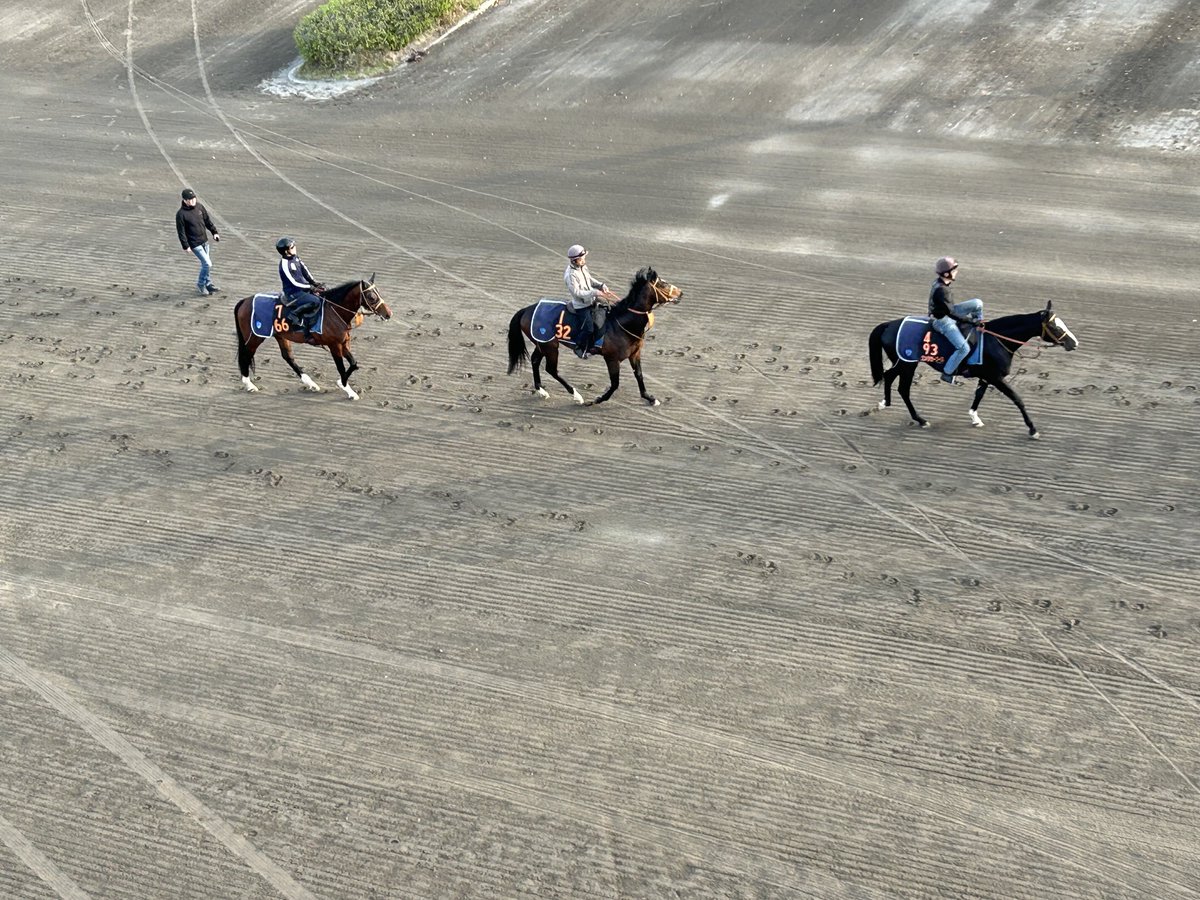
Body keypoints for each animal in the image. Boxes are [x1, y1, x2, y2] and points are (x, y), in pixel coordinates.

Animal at [229, 277, 388, 400]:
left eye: (379, 293)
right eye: (372, 297)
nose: (388, 314)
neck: (335, 311)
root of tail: (244, 301)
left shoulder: (343, 343)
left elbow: (354, 363)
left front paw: (346, 386)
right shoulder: (334, 345)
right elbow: (341, 367)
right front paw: (346, 388)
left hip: (280, 335)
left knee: (288, 357)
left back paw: (311, 383)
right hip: (255, 338)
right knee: (245, 356)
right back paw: (249, 385)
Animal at [504, 267, 681, 408]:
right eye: (662, 284)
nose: (680, 293)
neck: (621, 323)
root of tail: (527, 309)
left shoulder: (634, 354)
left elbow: (639, 376)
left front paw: (650, 398)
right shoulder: (611, 359)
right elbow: (615, 384)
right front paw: (596, 400)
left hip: (542, 344)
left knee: (535, 361)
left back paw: (542, 391)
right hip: (550, 346)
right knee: (551, 369)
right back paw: (577, 395)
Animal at [868, 303, 1084, 441]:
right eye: (1055, 326)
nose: (1074, 343)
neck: (997, 339)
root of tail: (889, 324)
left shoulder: (987, 376)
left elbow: (979, 394)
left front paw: (975, 418)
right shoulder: (996, 377)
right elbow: (1017, 398)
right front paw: (1032, 429)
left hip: (903, 363)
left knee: (890, 377)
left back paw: (883, 405)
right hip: (907, 363)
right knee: (902, 388)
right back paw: (920, 419)